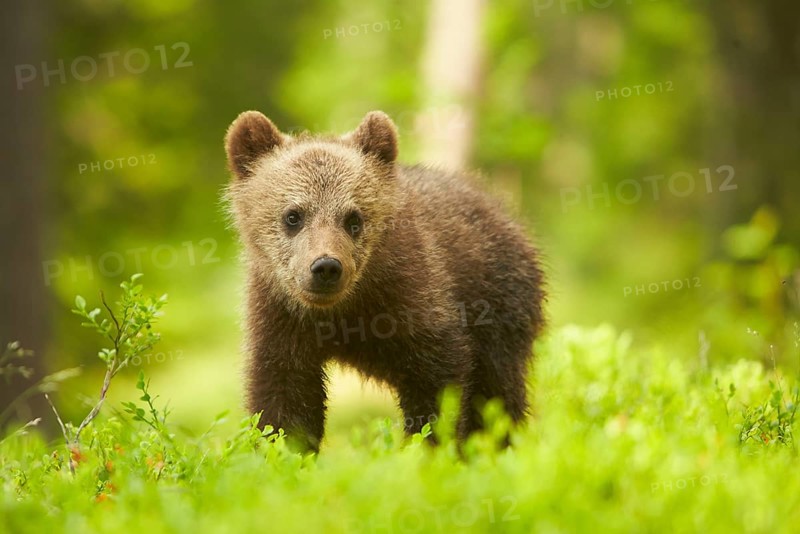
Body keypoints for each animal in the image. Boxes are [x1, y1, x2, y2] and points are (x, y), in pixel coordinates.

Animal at [224, 110, 545, 452]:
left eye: (354, 218)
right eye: (293, 215)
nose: (326, 267)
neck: (345, 310)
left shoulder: (414, 298)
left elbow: (438, 385)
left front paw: (427, 447)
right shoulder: (280, 317)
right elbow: (284, 397)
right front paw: (284, 449)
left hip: (499, 305)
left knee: (499, 390)